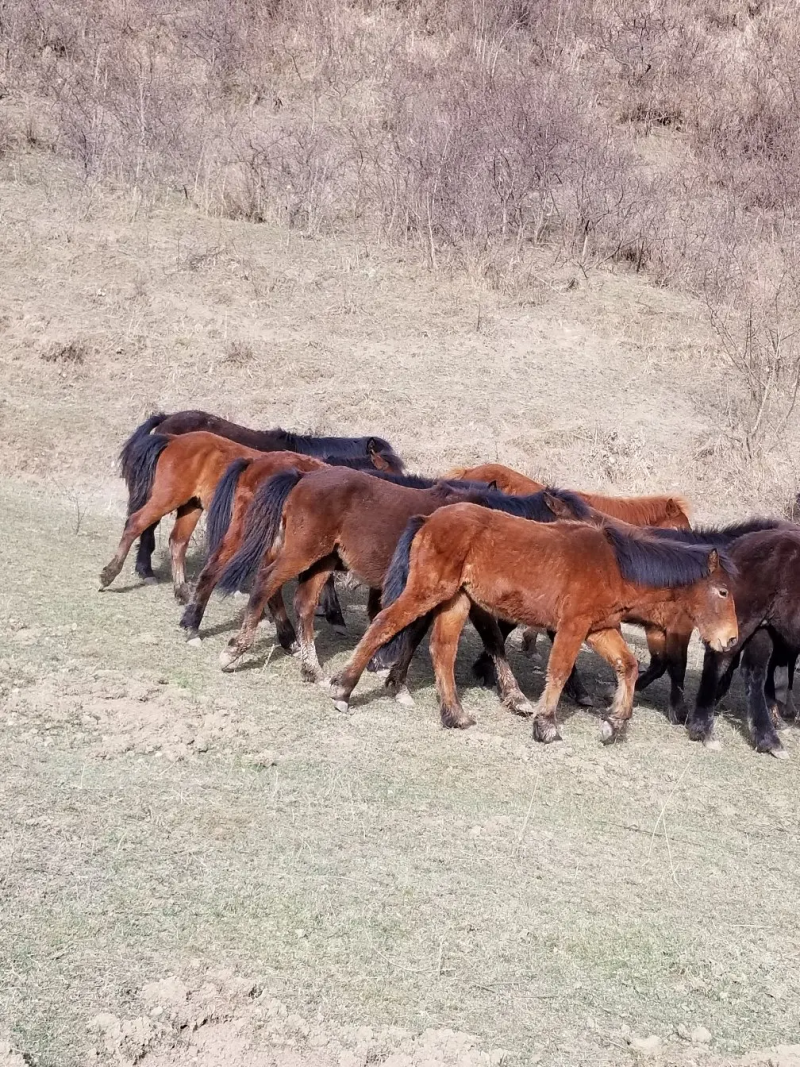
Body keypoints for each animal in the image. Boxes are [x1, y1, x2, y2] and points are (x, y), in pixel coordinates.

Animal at [100, 429, 385, 604]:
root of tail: (174, 439)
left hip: (191, 507)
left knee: (177, 542)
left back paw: (182, 592)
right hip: (166, 498)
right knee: (136, 523)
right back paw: (109, 574)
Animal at [212, 468, 590, 712]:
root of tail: (302, 477)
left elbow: (483, 639)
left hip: (322, 561)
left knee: (304, 603)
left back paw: (312, 669)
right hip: (302, 553)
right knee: (265, 582)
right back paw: (235, 651)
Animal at [329, 505, 738, 742]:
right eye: (722, 591)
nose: (731, 640)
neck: (614, 567)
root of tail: (430, 519)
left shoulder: (599, 629)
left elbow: (628, 665)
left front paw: (614, 723)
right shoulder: (572, 626)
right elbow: (559, 671)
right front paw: (546, 725)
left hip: (455, 600)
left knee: (442, 650)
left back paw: (455, 716)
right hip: (429, 590)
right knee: (385, 623)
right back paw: (343, 690)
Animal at [684, 526, 800, 756]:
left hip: (763, 628)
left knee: (754, 673)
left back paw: (768, 739)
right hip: (745, 623)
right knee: (718, 663)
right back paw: (703, 730)